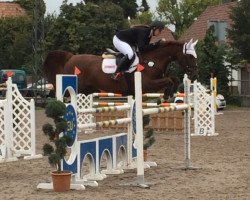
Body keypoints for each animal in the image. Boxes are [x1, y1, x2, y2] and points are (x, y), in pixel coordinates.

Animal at [43, 38, 199, 99]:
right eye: (190, 56)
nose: (195, 75)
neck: (152, 60)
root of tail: (70, 58)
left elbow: (174, 79)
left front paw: (170, 94)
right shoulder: (147, 84)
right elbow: (169, 80)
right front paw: (166, 95)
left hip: (88, 90)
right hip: (74, 88)